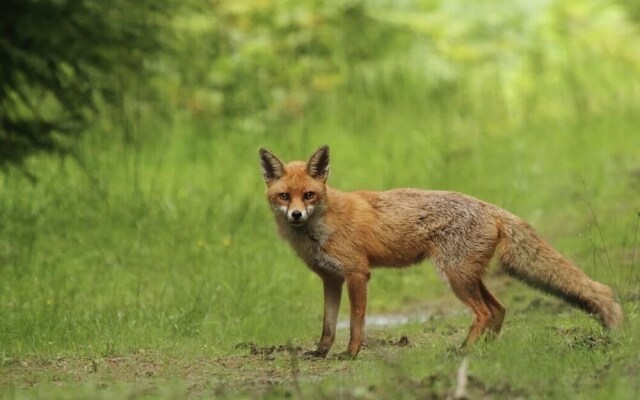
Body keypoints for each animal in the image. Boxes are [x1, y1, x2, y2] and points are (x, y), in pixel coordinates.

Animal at [258, 145, 624, 358]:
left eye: (309, 195)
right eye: (283, 196)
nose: (296, 215)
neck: (321, 227)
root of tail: (488, 206)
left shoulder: (357, 273)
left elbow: (356, 322)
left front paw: (351, 354)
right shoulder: (330, 279)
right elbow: (328, 323)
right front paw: (320, 352)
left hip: (455, 278)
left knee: (484, 313)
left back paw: (463, 351)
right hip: (468, 276)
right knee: (499, 309)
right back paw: (485, 351)